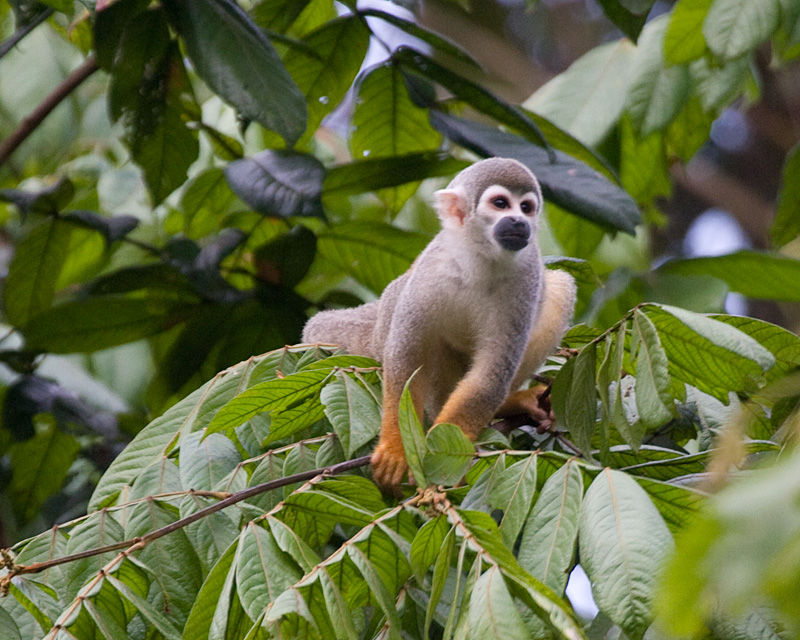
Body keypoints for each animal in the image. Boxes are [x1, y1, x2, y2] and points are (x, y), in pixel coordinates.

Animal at [304, 158, 576, 492]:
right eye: (501, 204)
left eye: (526, 207)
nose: (518, 221)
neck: (480, 260)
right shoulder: (431, 272)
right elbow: (408, 357)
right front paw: (397, 449)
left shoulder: (525, 280)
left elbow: (491, 375)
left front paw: (446, 448)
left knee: (559, 288)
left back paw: (508, 405)